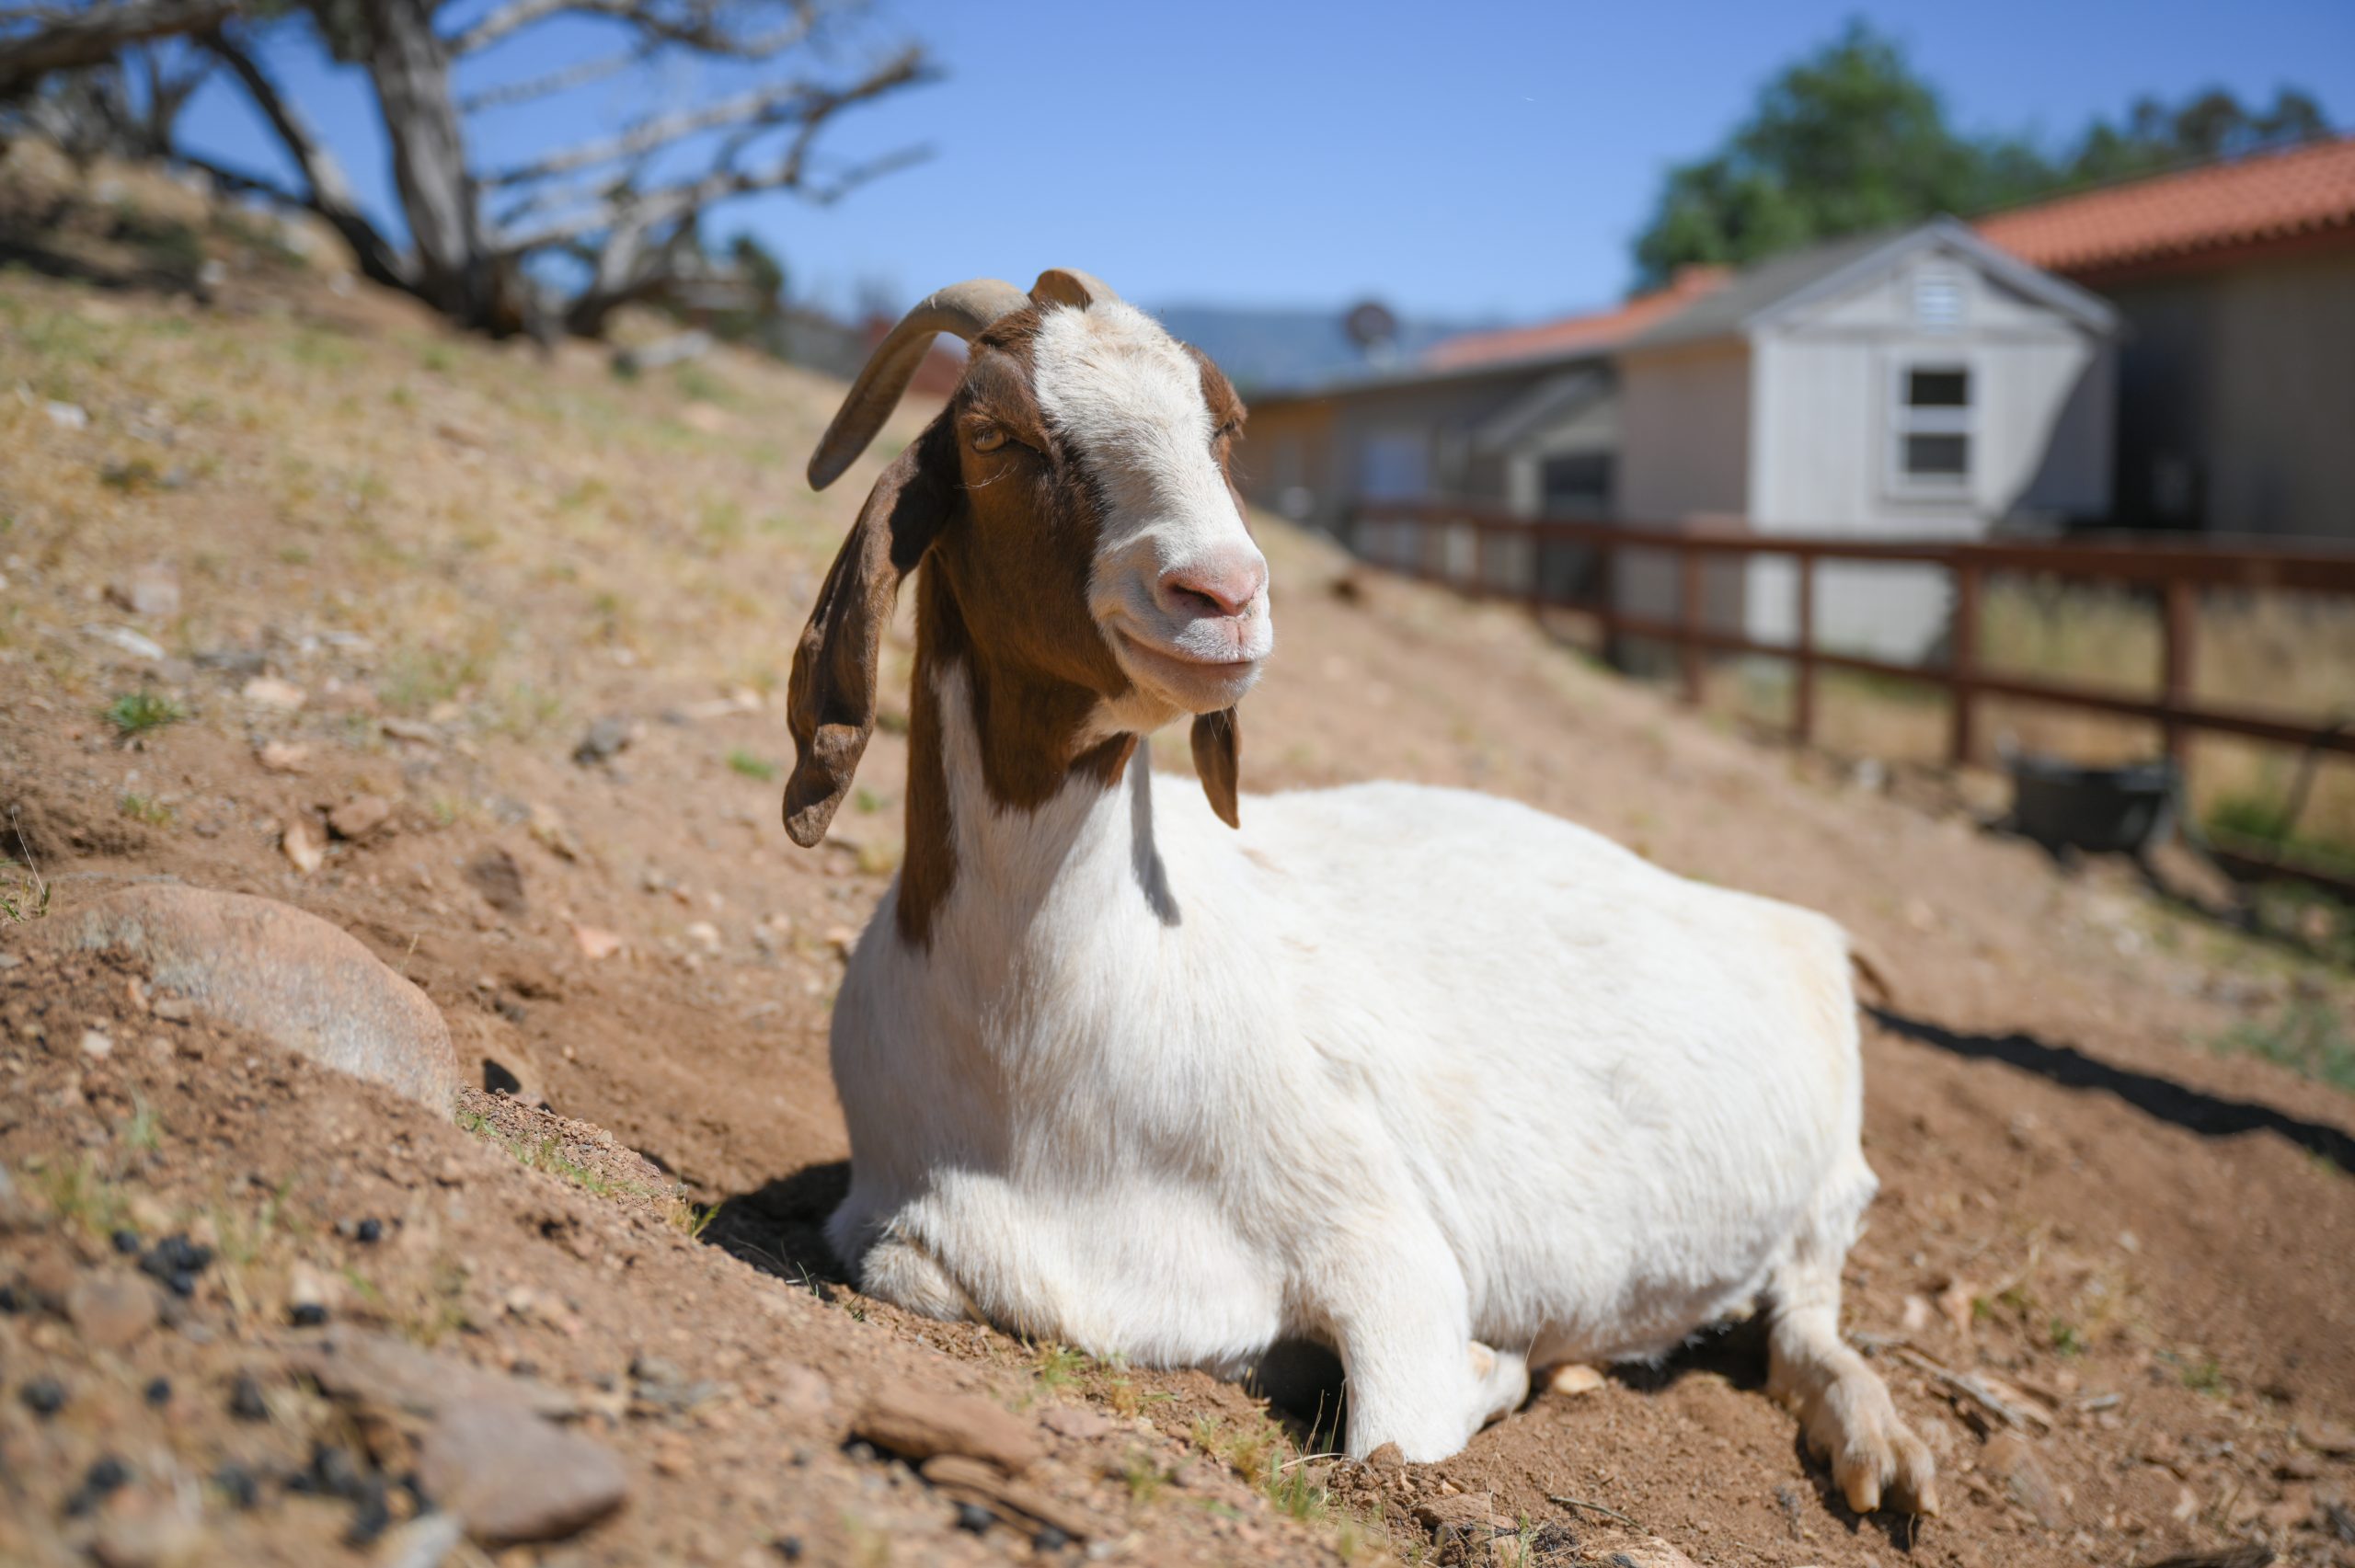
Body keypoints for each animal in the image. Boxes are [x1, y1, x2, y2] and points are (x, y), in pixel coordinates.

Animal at [781, 266, 1940, 1506]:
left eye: (1223, 429)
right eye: (994, 433)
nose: (1223, 592)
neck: (1044, 1038)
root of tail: (1789, 922)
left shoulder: (1382, 1245)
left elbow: (1395, 1428)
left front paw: (1499, 1366)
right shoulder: (897, 1223)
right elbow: (903, 1266)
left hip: (1828, 1186)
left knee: (1808, 1317)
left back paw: (1877, 1444)